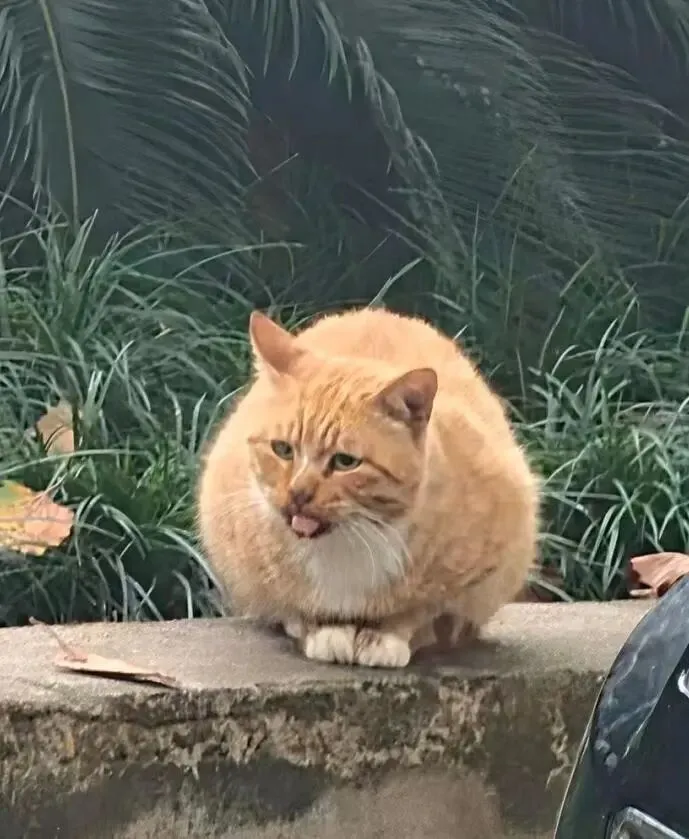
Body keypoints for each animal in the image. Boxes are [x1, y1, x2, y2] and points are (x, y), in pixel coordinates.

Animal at [197, 307, 540, 668]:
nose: (298, 493)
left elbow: (423, 609)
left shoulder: (490, 560)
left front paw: (385, 637)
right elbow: (293, 606)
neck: (348, 542)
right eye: (283, 449)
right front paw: (325, 632)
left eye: (346, 462)